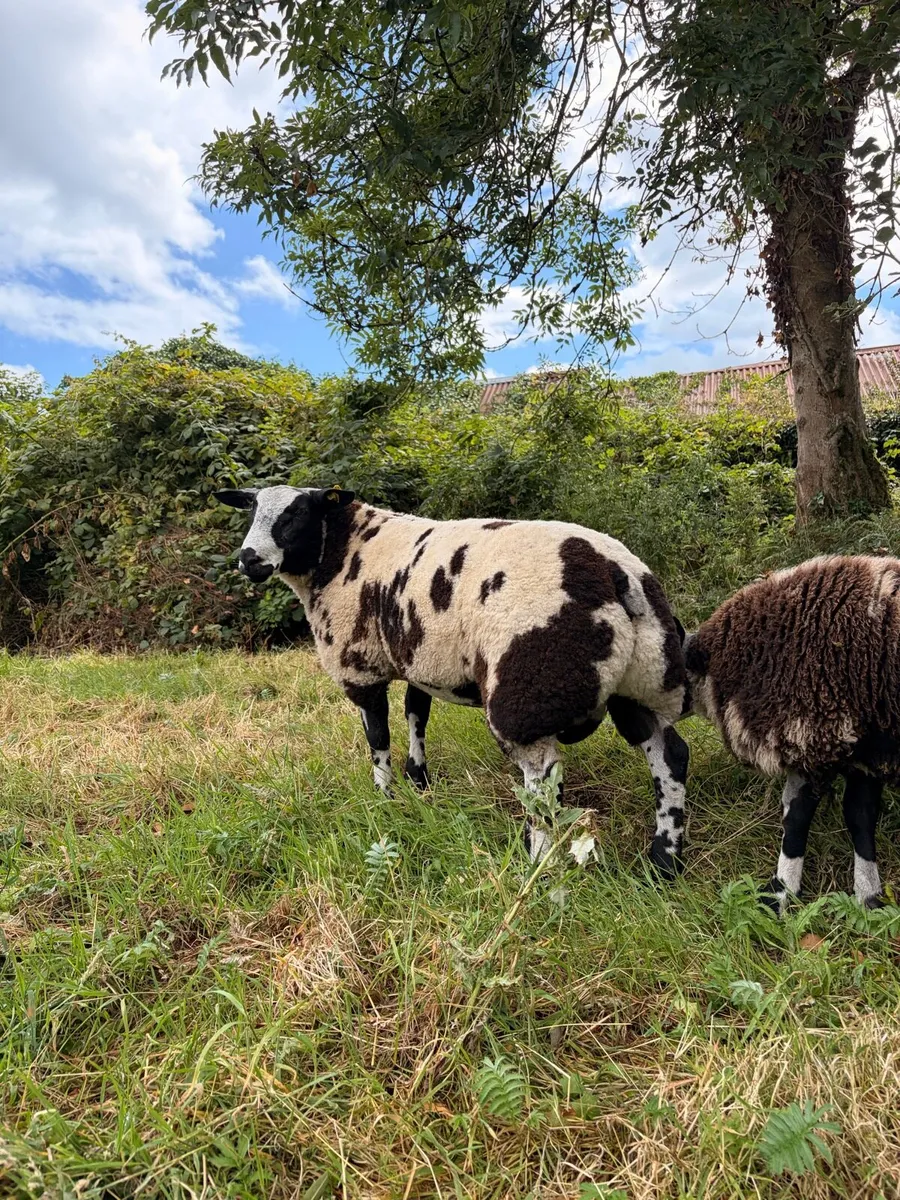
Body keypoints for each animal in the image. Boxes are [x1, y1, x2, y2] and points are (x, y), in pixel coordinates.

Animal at [215, 485, 690, 873]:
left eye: (296, 513)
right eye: (251, 508)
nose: (248, 560)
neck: (343, 552)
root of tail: (618, 574)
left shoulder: (361, 665)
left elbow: (378, 737)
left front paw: (384, 797)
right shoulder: (418, 657)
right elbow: (416, 715)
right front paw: (419, 780)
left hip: (529, 693)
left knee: (543, 781)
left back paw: (538, 860)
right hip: (644, 680)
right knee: (670, 756)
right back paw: (663, 861)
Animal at [684, 554, 900, 910]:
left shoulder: (811, 733)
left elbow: (797, 818)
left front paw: (779, 894)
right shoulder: (861, 748)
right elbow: (860, 815)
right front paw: (869, 897)